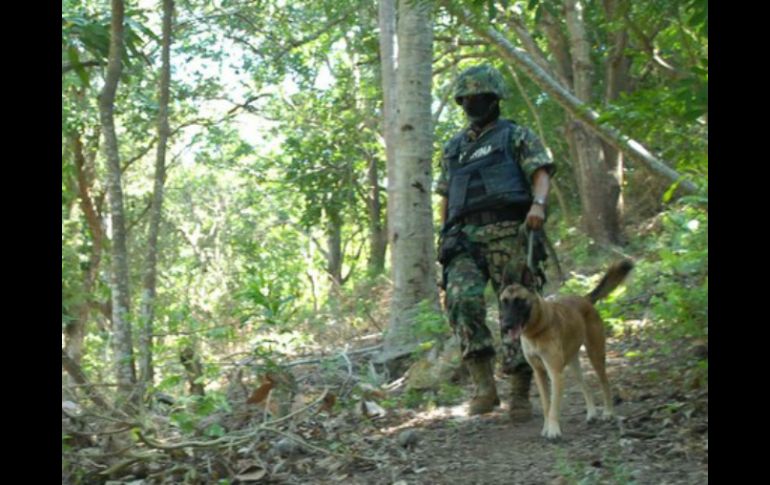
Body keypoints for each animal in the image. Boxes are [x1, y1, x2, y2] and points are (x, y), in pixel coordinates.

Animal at [498, 260, 632, 440]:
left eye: (519, 301)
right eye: (504, 301)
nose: (506, 326)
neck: (536, 331)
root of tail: (584, 299)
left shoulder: (555, 373)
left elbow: (554, 406)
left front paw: (553, 430)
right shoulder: (540, 374)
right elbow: (546, 405)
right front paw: (546, 428)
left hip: (595, 356)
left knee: (605, 384)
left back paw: (608, 412)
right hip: (573, 366)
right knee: (585, 386)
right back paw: (591, 414)